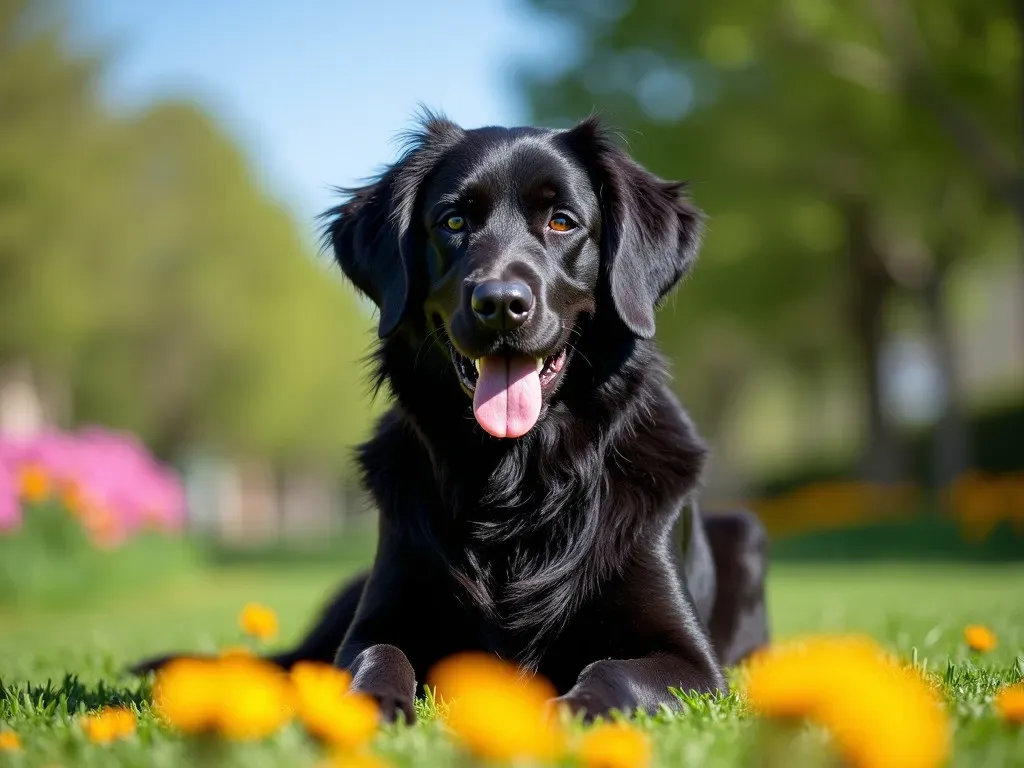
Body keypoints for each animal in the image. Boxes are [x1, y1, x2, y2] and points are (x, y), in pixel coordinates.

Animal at [130, 112, 770, 720]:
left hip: (746, 532)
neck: (517, 480)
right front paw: (368, 704)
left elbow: (614, 672)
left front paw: (575, 710)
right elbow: (377, 655)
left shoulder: (689, 661)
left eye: (563, 221)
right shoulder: (380, 617)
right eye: (454, 223)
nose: (501, 304)